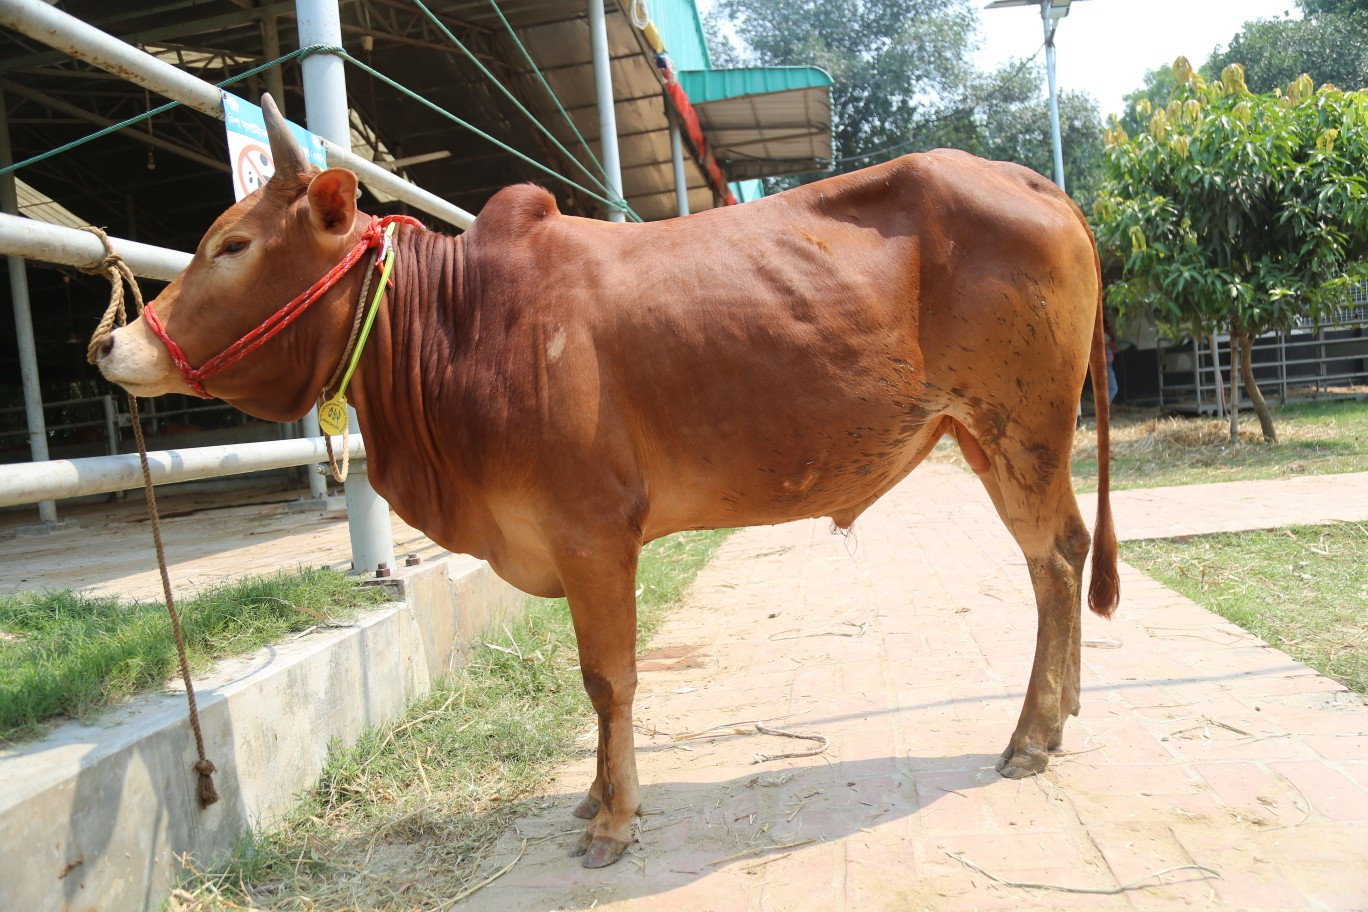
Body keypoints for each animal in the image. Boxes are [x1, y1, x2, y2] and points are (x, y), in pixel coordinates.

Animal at [95, 94, 1118, 868]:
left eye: (233, 244)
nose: (114, 343)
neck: (458, 324)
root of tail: (1030, 180)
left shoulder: (591, 535)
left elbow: (608, 678)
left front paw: (616, 819)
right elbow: (596, 683)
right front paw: (593, 798)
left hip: (1022, 432)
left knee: (1056, 558)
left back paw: (1031, 735)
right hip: (988, 437)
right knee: (1057, 557)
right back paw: (1058, 715)